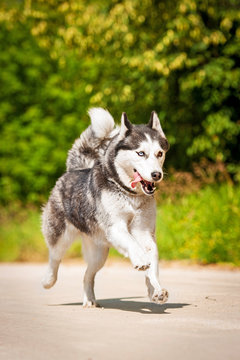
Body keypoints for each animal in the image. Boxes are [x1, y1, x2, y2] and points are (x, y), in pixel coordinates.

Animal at [41, 107, 169, 306]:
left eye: (159, 153)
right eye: (141, 153)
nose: (157, 174)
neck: (129, 195)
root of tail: (73, 170)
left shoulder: (144, 232)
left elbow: (152, 262)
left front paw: (155, 289)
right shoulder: (115, 226)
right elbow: (133, 244)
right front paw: (140, 259)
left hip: (99, 254)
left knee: (87, 275)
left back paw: (90, 300)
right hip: (60, 236)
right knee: (54, 257)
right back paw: (48, 281)